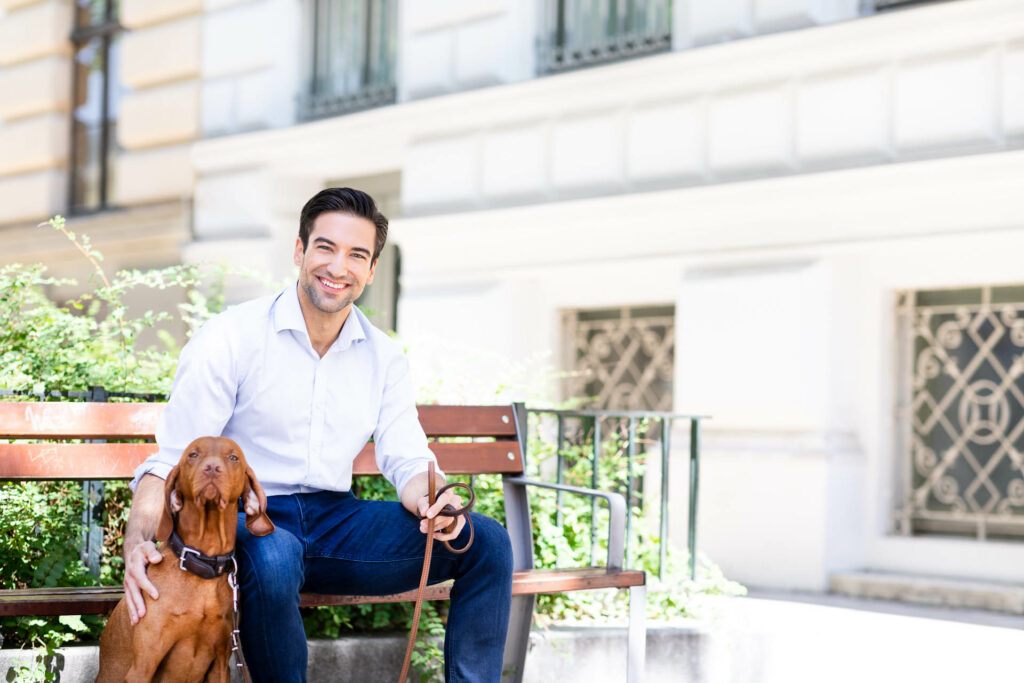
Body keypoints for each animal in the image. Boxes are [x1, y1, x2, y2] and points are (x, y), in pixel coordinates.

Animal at [97, 438, 274, 683]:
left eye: (233, 457)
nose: (212, 468)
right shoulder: (143, 666)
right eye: (193, 455)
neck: (203, 563)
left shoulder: (221, 664)